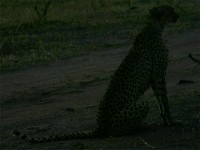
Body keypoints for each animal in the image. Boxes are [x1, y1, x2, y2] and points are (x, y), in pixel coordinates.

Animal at [11, 5, 179, 142]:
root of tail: (99, 126)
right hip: (138, 107)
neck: (154, 26)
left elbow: (159, 100)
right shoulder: (159, 75)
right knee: (116, 132)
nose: (178, 15)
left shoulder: (154, 78)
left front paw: (164, 120)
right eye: (170, 10)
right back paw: (142, 126)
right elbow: (164, 99)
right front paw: (171, 121)